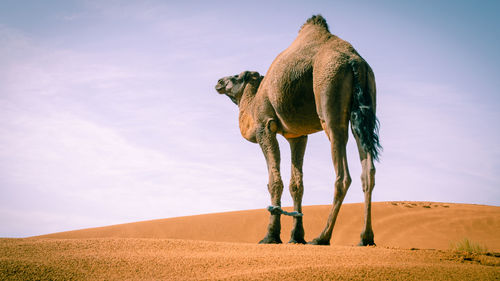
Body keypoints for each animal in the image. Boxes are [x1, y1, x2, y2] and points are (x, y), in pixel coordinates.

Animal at [213, 14, 380, 245]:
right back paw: (366, 237)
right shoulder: (298, 136)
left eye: (238, 76)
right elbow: (296, 185)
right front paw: (296, 236)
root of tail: (354, 61)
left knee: (343, 174)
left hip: (329, 96)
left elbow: (274, 181)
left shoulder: (265, 126)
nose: (219, 82)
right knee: (368, 171)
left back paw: (322, 237)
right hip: (366, 104)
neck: (253, 103)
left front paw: (271, 236)